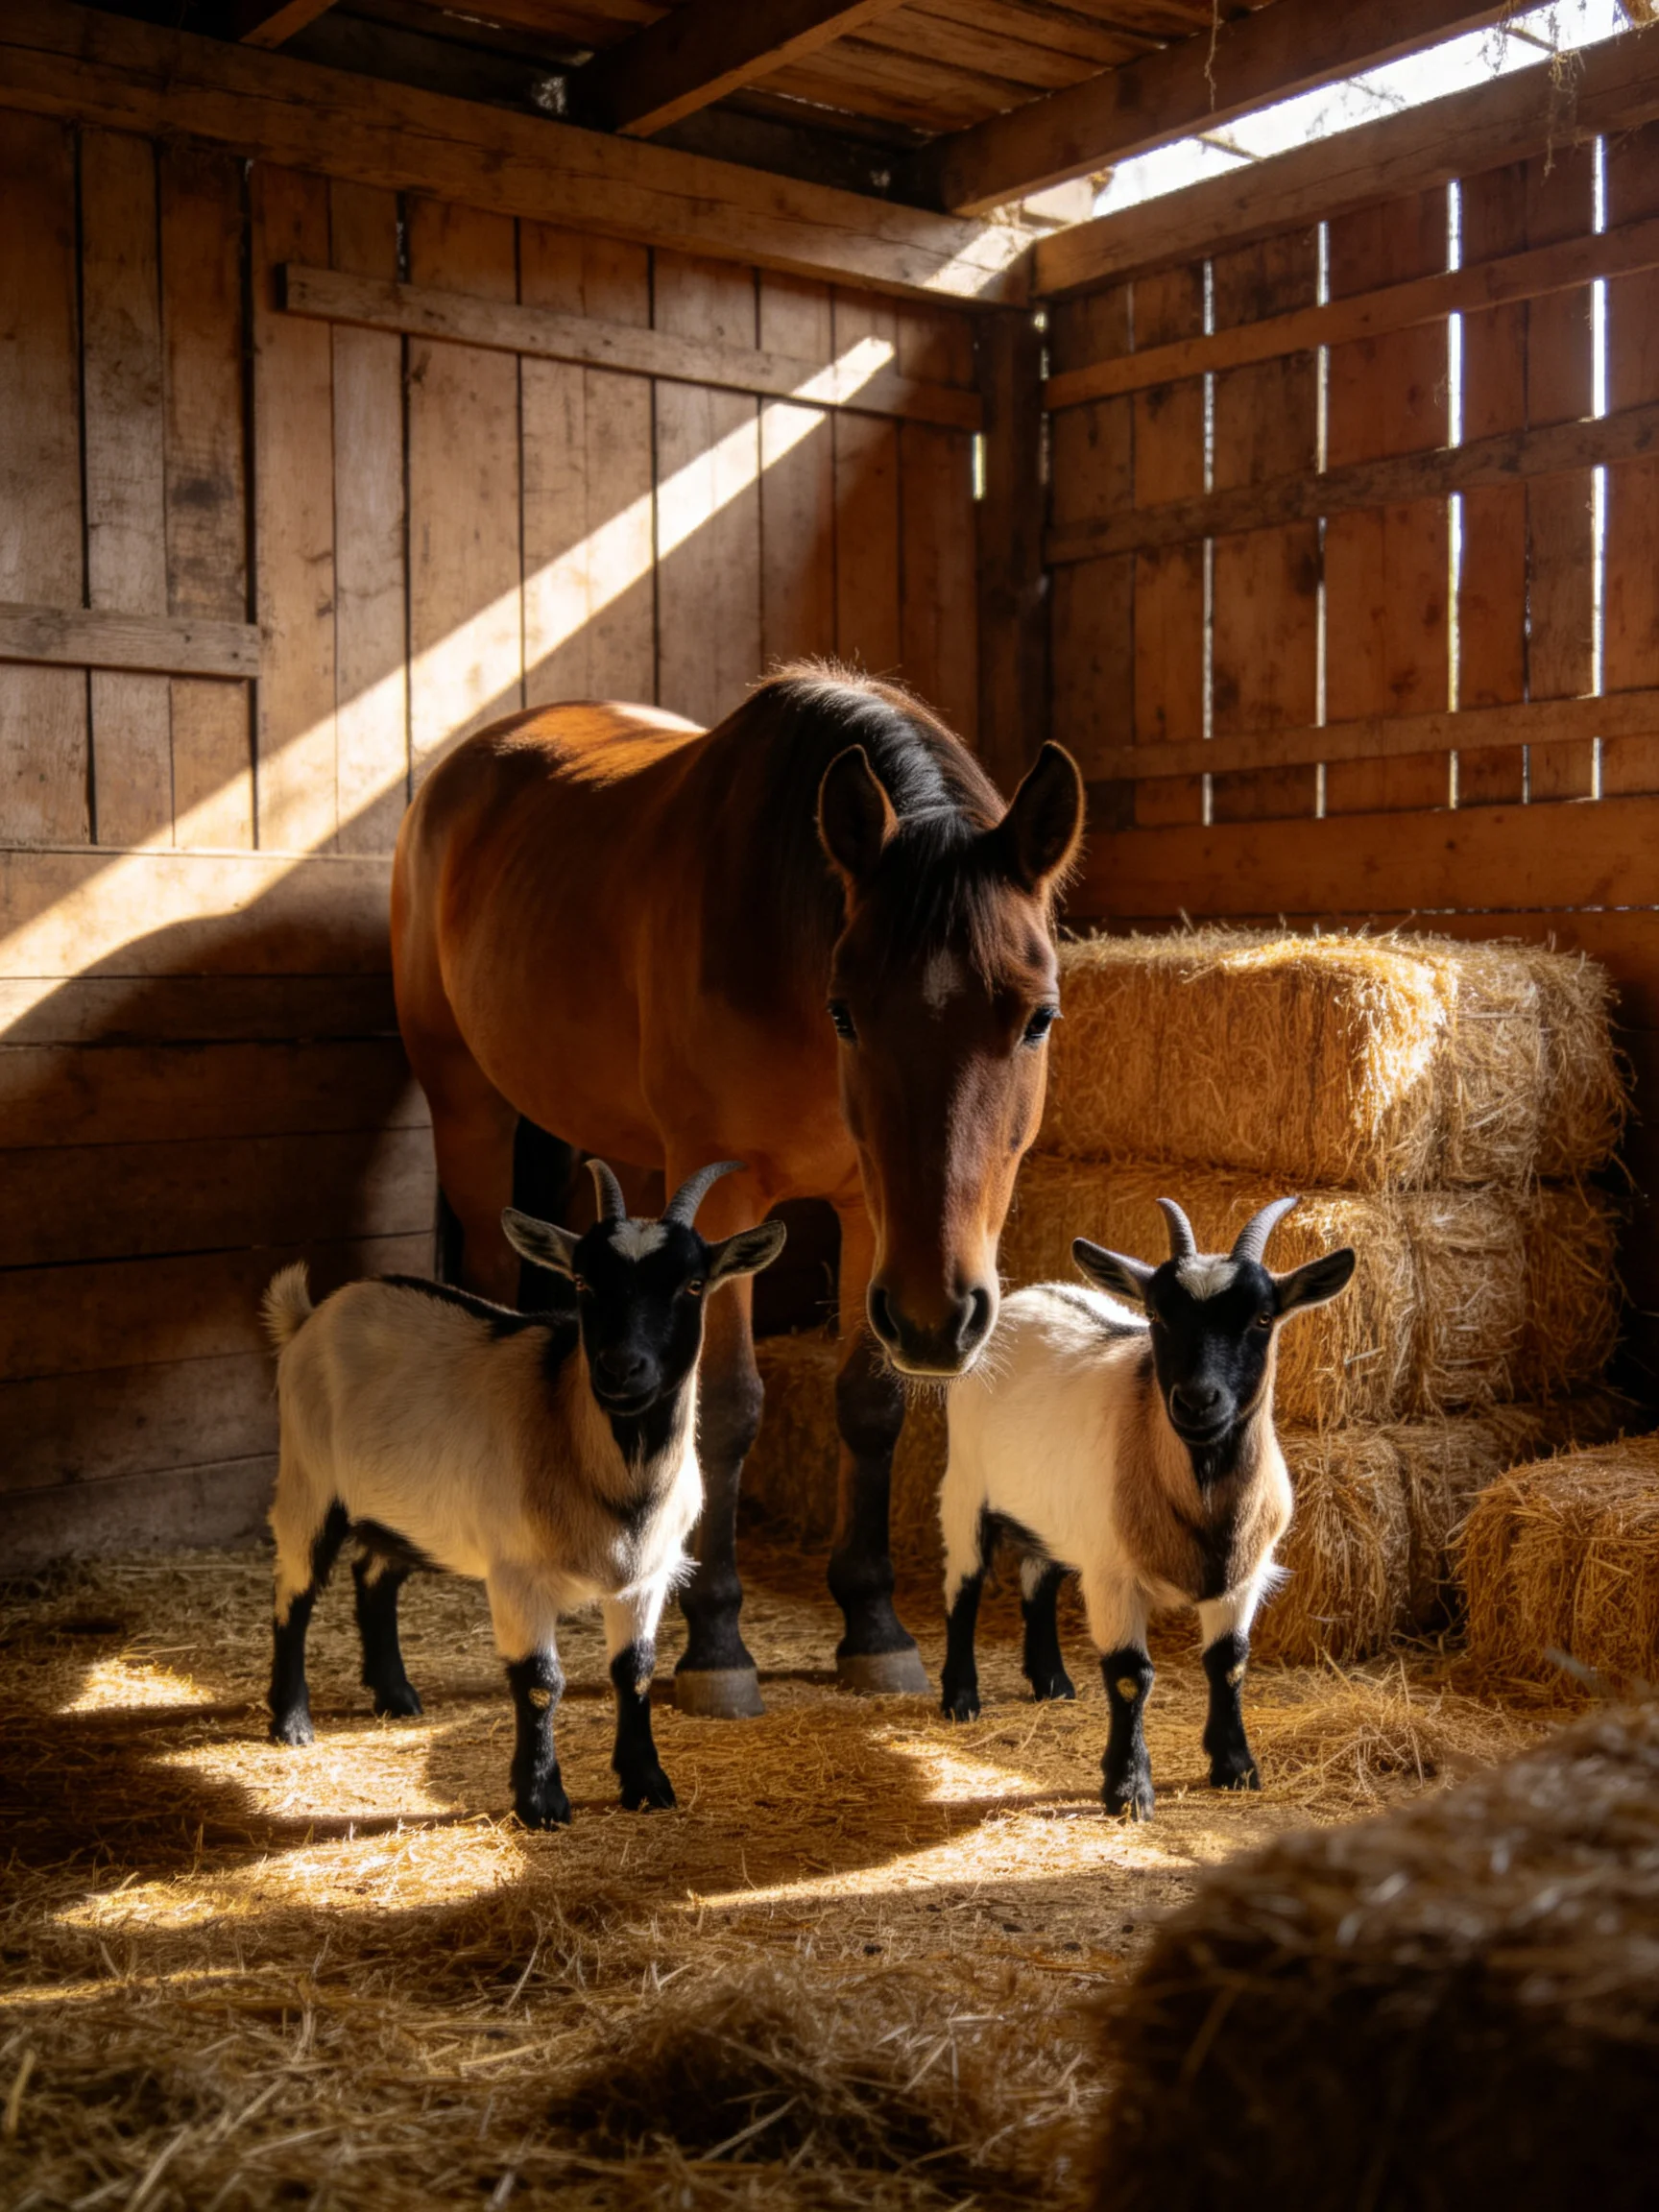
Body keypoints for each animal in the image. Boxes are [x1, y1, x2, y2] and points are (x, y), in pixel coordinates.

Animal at [260, 1159, 786, 1828]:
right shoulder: (516, 1573)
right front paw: (541, 1802)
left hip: (405, 1507)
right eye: (584, 1280)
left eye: (693, 1285)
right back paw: (291, 1723)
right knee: (294, 1593)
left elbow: (635, 1673)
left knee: (375, 1575)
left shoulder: (647, 1576)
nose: (621, 1368)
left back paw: (396, 1695)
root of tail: (312, 1316)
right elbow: (540, 1681)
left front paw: (647, 1784)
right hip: (309, 1478)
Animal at [390, 664, 1085, 1716]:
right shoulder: (725, 1199)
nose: (942, 1319)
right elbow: (724, 1408)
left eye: (1037, 1018)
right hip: (469, 1108)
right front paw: (716, 1644)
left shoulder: (872, 1214)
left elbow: (868, 1405)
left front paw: (874, 1628)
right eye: (847, 1011)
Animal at [937, 1196, 1355, 1819]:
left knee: (1039, 1580)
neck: (1203, 1503)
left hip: (1055, 1510)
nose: (1198, 1401)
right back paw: (961, 1698)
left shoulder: (1243, 1577)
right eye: (1157, 1315)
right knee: (964, 1586)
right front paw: (1128, 1791)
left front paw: (1235, 1768)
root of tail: (1024, 1297)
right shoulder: (1113, 1576)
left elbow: (1229, 1663)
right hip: (965, 1484)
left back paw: (1052, 1683)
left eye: (1262, 1318)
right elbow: (1131, 1676)